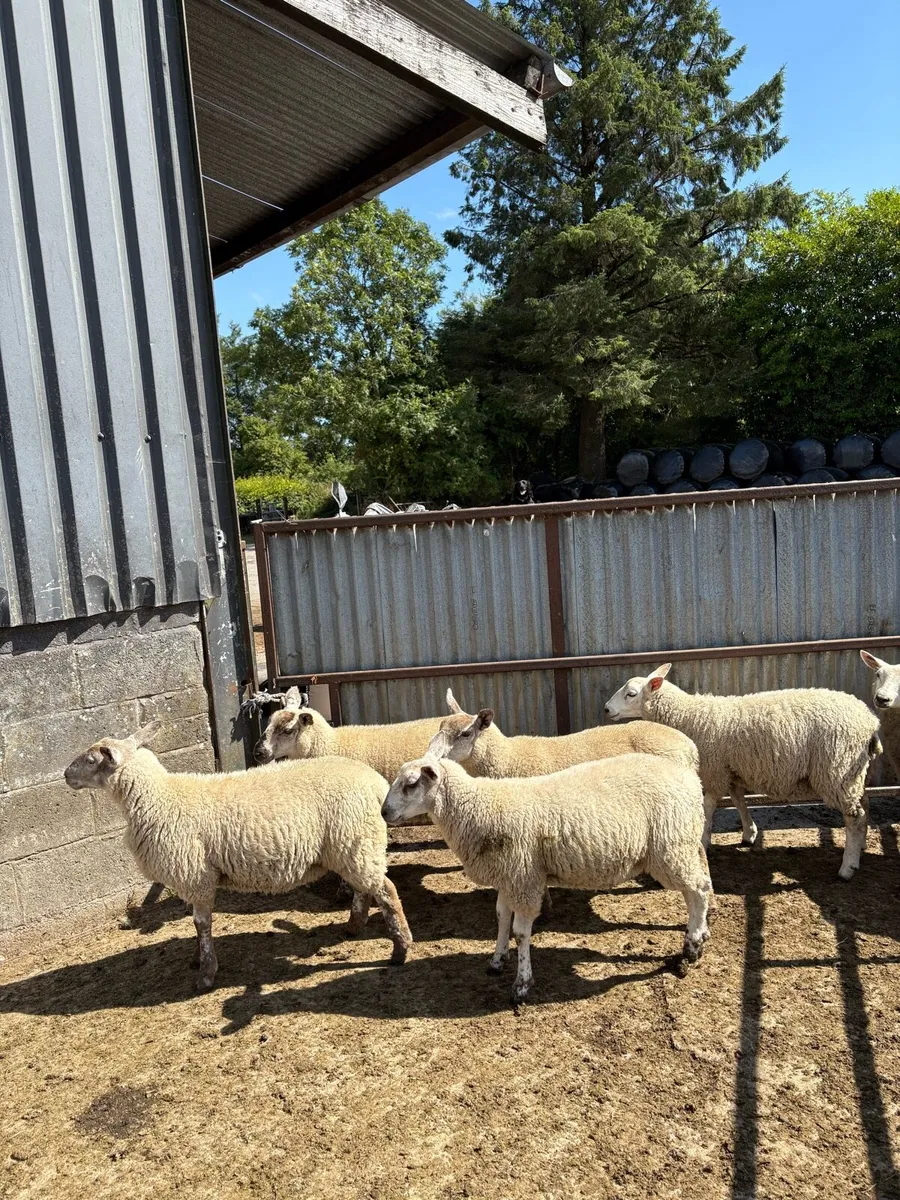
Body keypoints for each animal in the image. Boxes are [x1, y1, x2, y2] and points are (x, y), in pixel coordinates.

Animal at [64, 721, 413, 991]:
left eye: (92, 759)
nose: (66, 774)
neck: (159, 797)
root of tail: (376, 784)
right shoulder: (196, 878)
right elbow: (197, 925)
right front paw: (198, 960)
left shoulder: (196, 876)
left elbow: (201, 924)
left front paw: (206, 974)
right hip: (355, 845)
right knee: (364, 889)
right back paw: (354, 926)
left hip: (354, 841)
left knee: (386, 891)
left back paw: (400, 948)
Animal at [383, 753, 713, 1003]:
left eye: (411, 784)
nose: (384, 812)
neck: (480, 807)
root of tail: (691, 778)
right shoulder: (509, 876)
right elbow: (501, 917)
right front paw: (497, 960)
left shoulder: (524, 877)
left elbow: (521, 932)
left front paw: (522, 984)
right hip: (680, 846)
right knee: (699, 888)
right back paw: (701, 932)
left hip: (671, 846)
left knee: (697, 892)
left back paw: (692, 946)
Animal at [604, 664, 882, 880]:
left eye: (630, 694)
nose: (606, 709)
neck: (689, 716)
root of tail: (870, 722)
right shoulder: (731, 769)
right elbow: (738, 800)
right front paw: (750, 833)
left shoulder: (714, 770)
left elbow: (709, 806)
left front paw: (704, 840)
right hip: (855, 773)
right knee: (865, 806)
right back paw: (861, 846)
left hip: (838, 770)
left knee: (855, 817)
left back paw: (848, 867)